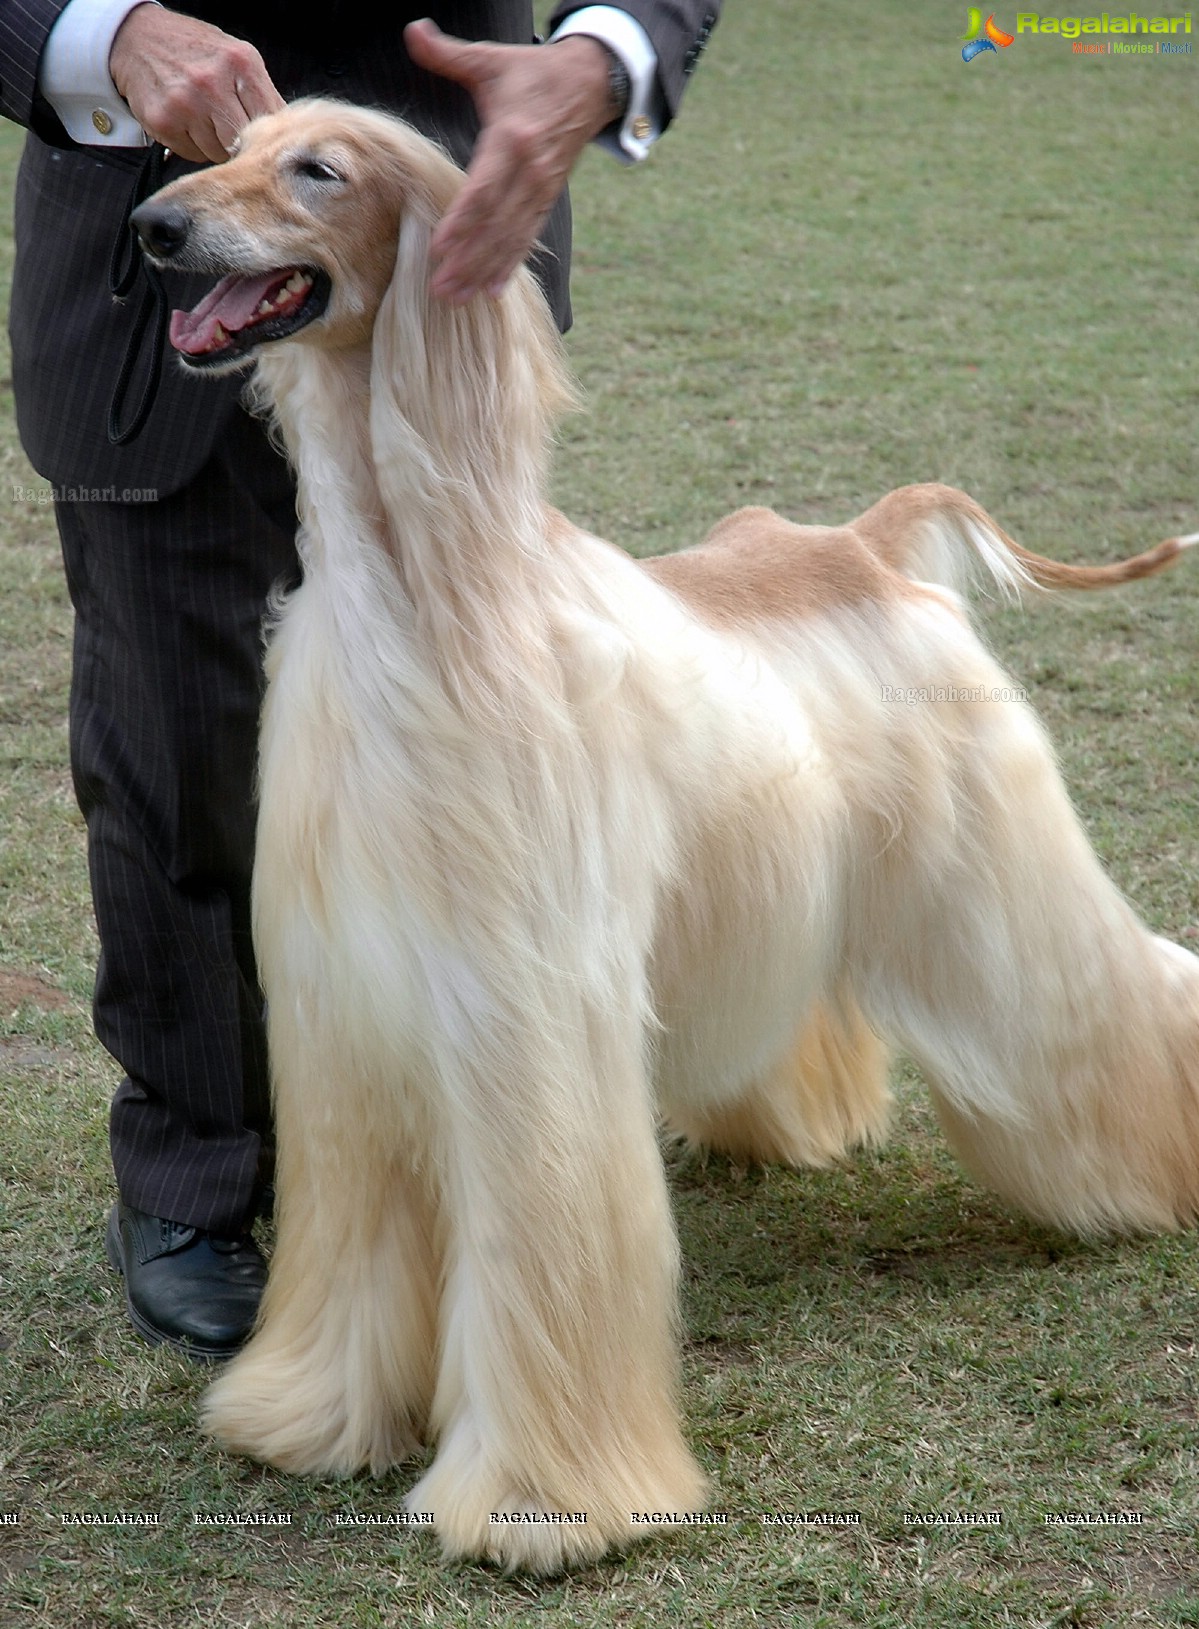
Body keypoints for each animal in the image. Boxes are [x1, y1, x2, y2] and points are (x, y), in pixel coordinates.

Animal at [133, 98, 1199, 1563]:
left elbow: (545, 1253)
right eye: (230, 143)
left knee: (1122, 990)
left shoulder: (525, 1010)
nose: (151, 226)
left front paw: (541, 1501)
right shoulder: (344, 1009)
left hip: (992, 877)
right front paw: (308, 1416)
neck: (430, 595)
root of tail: (861, 541)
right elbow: (349, 1249)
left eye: (317, 170)